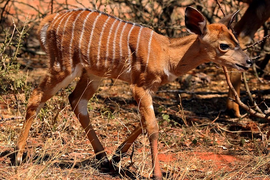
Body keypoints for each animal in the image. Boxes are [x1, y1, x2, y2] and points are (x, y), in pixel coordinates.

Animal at [16, 6, 253, 179]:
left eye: (236, 41)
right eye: (224, 45)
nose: (249, 61)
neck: (167, 53)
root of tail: (48, 22)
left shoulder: (150, 88)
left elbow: (144, 121)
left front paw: (117, 156)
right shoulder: (139, 85)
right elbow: (153, 127)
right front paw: (157, 174)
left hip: (92, 73)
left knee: (76, 101)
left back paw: (103, 159)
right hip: (63, 67)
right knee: (37, 96)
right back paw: (18, 156)